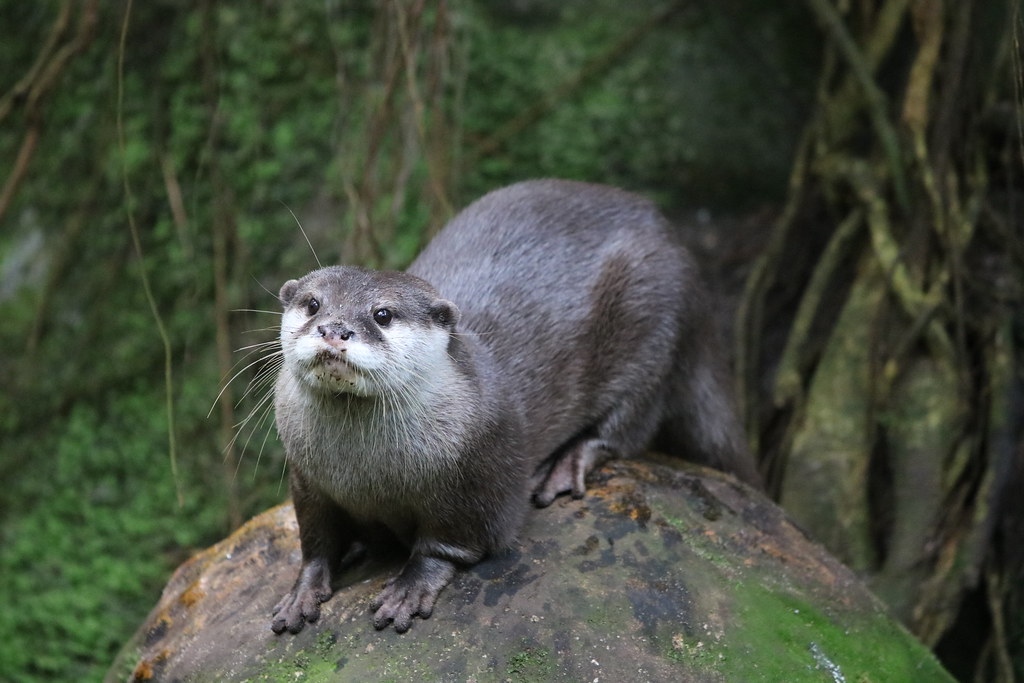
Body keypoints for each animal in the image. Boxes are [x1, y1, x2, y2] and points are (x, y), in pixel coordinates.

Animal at [268, 178, 757, 634]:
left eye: (382, 314)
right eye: (313, 304)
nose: (334, 329)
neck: (368, 476)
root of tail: (671, 236)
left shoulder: (482, 473)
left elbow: (458, 540)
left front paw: (410, 587)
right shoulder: (308, 478)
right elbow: (316, 542)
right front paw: (301, 592)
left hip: (656, 323)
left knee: (630, 424)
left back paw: (566, 464)